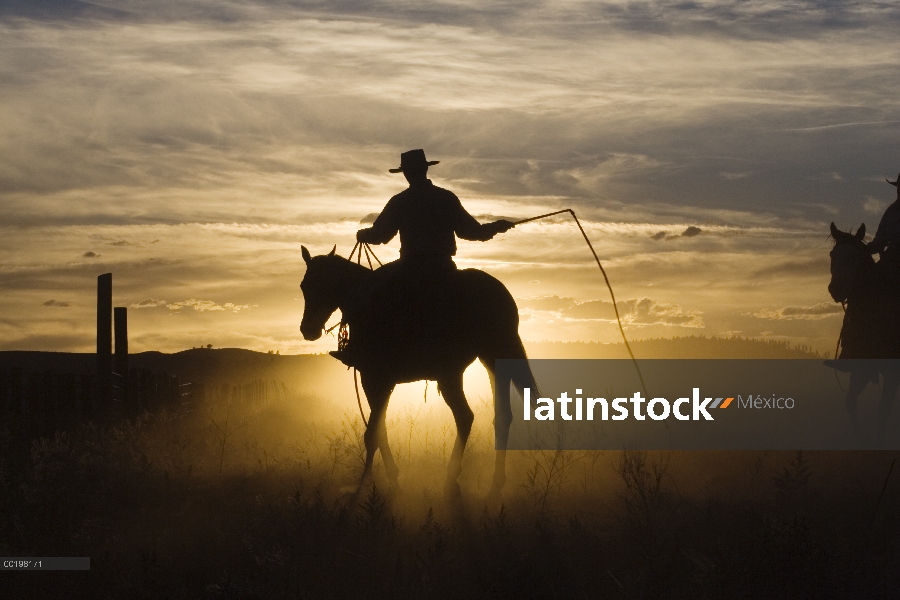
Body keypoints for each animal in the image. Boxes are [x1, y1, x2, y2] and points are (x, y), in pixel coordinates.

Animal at [298, 246, 536, 500]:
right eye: (304, 286)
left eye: (322, 284)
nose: (308, 330)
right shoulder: (376, 381)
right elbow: (380, 429)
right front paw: (391, 480)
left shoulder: (377, 378)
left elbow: (372, 434)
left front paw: (363, 486)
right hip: (485, 362)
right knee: (497, 416)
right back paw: (491, 484)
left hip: (461, 370)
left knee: (467, 416)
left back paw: (455, 480)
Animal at [828, 223, 900, 442]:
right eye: (832, 254)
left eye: (854, 256)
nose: (836, 289)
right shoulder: (861, 367)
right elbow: (851, 402)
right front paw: (863, 437)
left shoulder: (892, 372)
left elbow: (883, 410)